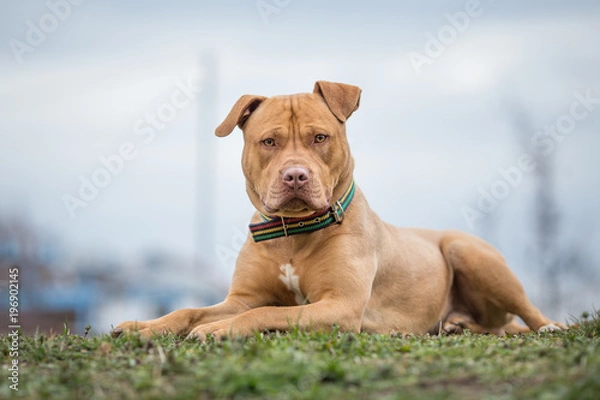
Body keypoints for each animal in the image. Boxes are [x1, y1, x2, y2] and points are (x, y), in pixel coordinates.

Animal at [111, 81, 564, 340]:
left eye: (320, 137)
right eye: (269, 142)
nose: (295, 175)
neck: (292, 234)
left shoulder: (340, 305)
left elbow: (265, 312)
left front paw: (218, 329)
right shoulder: (241, 297)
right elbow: (192, 309)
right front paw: (143, 327)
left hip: (465, 249)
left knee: (527, 314)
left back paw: (549, 327)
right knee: (496, 324)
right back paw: (459, 324)